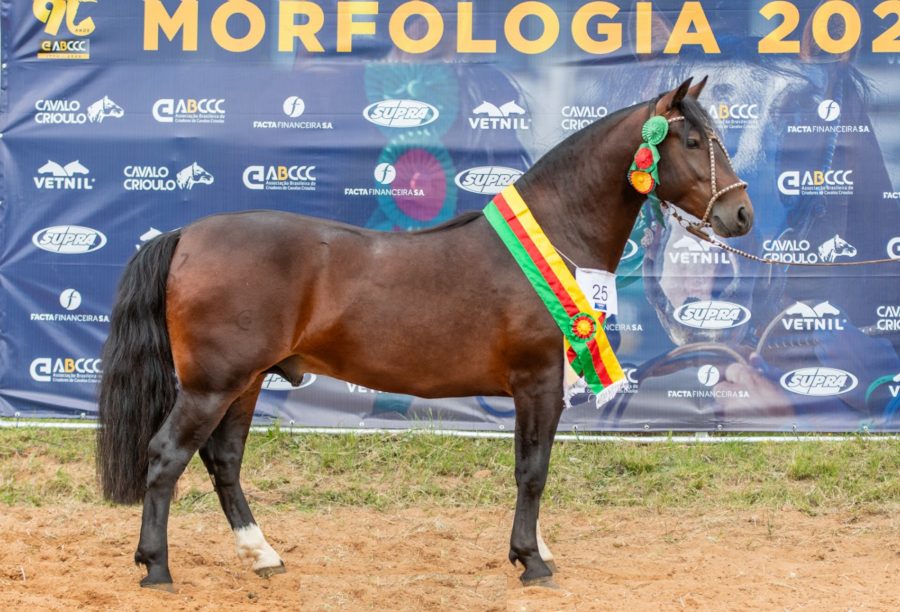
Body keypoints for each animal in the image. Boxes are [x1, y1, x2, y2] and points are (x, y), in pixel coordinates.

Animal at [95, 76, 752, 588]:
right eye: (693, 141)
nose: (740, 213)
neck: (552, 237)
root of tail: (187, 234)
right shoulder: (538, 383)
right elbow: (532, 470)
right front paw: (531, 560)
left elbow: (531, 467)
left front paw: (536, 549)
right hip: (213, 384)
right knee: (166, 457)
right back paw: (157, 568)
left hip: (247, 381)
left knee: (224, 460)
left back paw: (263, 554)